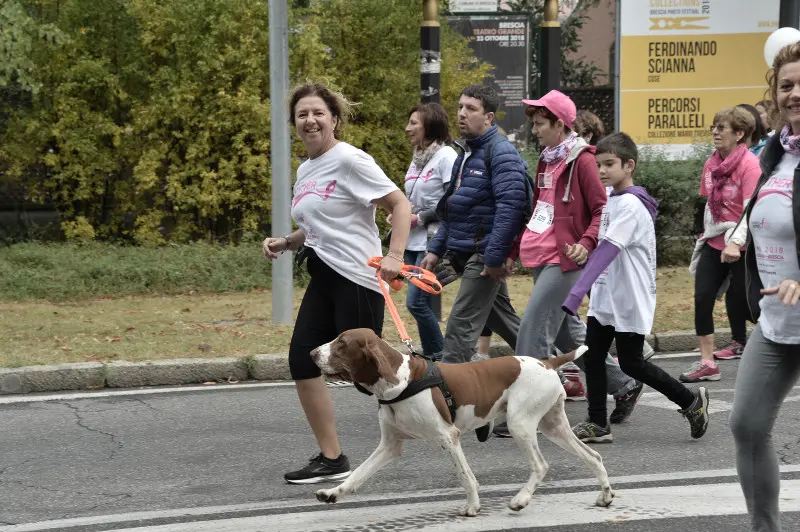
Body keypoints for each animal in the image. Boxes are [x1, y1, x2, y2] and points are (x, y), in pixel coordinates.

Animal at [310, 328, 616, 516]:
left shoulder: (448, 436)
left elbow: (465, 477)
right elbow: (358, 474)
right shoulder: (390, 445)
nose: (312, 353)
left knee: (541, 465)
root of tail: (548, 363)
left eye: (341, 343)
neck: (401, 381)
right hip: (553, 426)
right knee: (594, 456)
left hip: (520, 424)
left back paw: (520, 500)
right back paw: (605, 495)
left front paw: (472, 507)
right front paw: (333, 492)